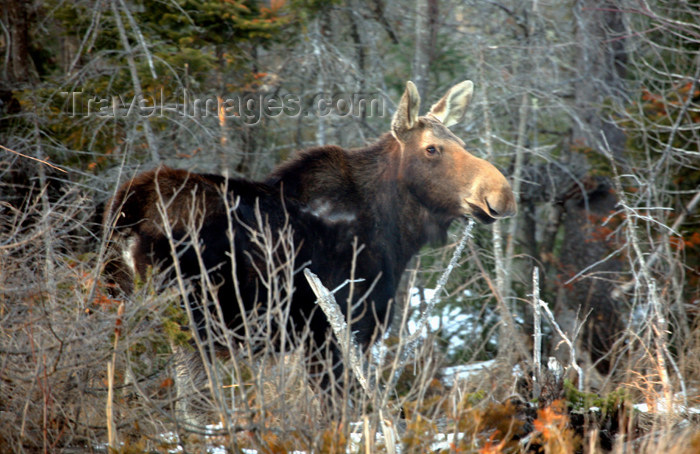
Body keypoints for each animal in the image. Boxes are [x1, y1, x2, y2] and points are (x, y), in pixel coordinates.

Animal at [105, 80, 520, 420]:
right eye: (433, 149)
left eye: (461, 144)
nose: (501, 193)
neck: (396, 234)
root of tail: (125, 211)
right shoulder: (335, 331)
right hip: (189, 320)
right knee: (186, 405)